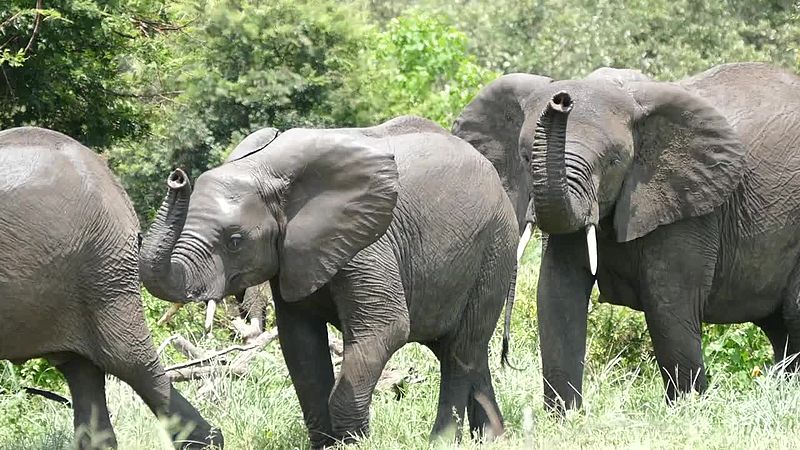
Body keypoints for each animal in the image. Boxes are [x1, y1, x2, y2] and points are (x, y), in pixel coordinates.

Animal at [138, 115, 520, 446]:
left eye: (235, 241)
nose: (177, 177)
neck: (264, 169)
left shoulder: (368, 243)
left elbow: (386, 328)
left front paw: (354, 443)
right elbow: (300, 344)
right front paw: (328, 444)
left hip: (494, 247)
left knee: (459, 351)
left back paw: (442, 442)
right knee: (463, 349)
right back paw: (493, 439)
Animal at [454, 63, 800, 412]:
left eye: (613, 161)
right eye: (526, 157)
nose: (561, 101)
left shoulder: (688, 210)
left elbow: (669, 306)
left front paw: (686, 411)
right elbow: (557, 294)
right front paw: (566, 418)